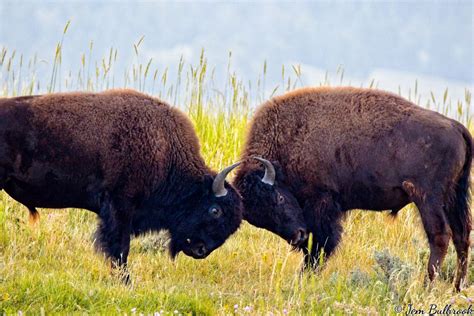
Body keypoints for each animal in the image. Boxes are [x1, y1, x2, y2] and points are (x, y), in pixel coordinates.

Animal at [0, 89, 243, 282]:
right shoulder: (120, 207)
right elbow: (120, 248)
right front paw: (125, 281)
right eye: (215, 210)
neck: (164, 148)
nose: (201, 250)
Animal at [235, 86, 472, 292]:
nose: (297, 235)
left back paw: (426, 286)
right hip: (453, 196)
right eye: (261, 221)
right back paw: (457, 287)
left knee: (440, 236)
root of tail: (455, 126)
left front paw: (304, 277)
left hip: (428, 198)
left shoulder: (322, 203)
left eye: (279, 199)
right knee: (462, 236)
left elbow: (321, 244)